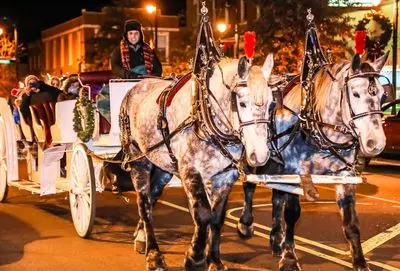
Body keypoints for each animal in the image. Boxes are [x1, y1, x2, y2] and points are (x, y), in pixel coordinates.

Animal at [119, 54, 276, 270]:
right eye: (242, 103)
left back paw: (142, 236)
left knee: (152, 198)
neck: (204, 115)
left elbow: (216, 217)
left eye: (271, 104)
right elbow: (202, 214)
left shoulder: (224, 177)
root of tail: (134, 88)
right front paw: (195, 256)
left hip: (163, 167)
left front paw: (215, 260)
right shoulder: (190, 170)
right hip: (139, 160)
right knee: (143, 202)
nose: (259, 155)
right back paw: (153, 254)